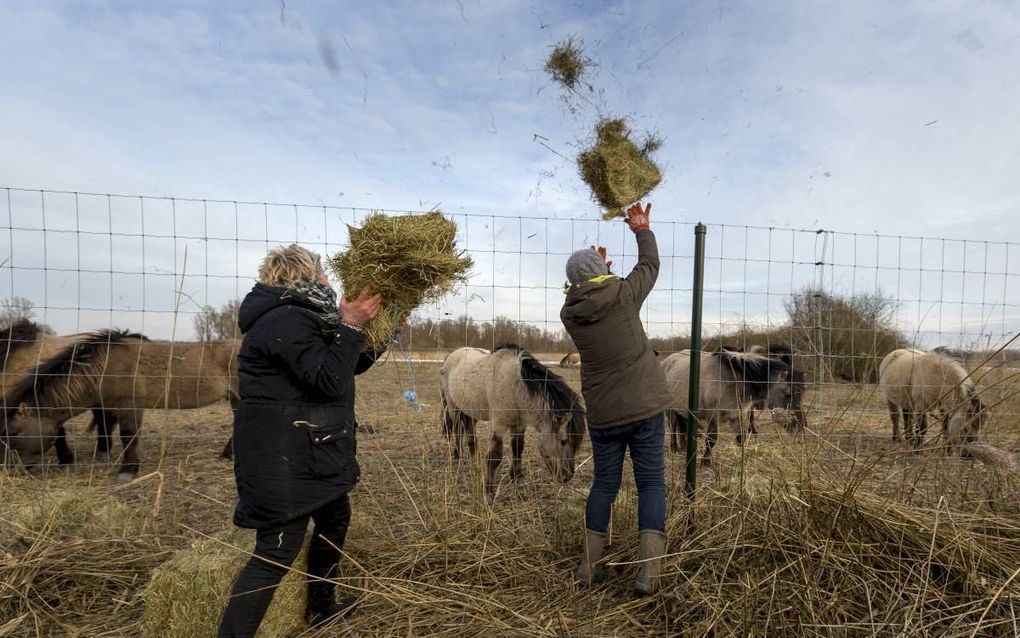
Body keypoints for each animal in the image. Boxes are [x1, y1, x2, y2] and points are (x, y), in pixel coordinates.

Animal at [1, 330, 238, 475]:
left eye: (13, 433)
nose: (6, 469)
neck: (103, 368)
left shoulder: (130, 406)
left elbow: (128, 436)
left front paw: (128, 470)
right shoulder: (110, 408)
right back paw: (227, 454)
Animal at [440, 342, 591, 502]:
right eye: (563, 441)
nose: (566, 477)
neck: (515, 387)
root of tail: (450, 355)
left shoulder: (519, 425)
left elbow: (518, 448)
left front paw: (518, 479)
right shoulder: (499, 425)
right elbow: (495, 456)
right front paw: (489, 492)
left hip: (470, 410)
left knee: (470, 435)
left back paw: (475, 462)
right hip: (453, 408)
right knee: (457, 431)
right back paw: (457, 458)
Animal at [660, 351, 795, 465]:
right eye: (787, 394)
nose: (793, 423)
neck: (732, 381)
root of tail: (666, 361)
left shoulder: (737, 415)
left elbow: (741, 438)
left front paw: (741, 461)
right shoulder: (713, 415)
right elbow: (712, 438)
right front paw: (706, 461)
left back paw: (683, 446)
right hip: (670, 410)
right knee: (673, 427)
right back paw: (674, 448)